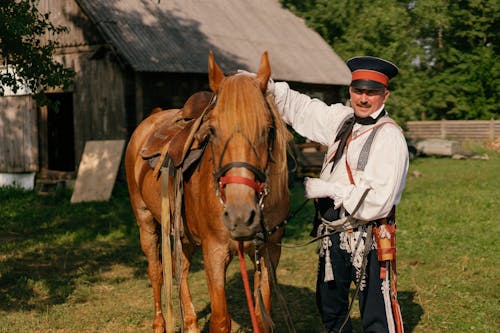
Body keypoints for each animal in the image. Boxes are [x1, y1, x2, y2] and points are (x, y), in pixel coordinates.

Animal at [125, 52, 292, 332]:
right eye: (211, 131)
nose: (239, 215)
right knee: (157, 271)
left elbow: (263, 317)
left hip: (183, 232)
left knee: (180, 269)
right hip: (146, 221)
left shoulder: (270, 252)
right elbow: (220, 320)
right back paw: (159, 323)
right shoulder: (214, 253)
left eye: (268, 129)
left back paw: (190, 323)